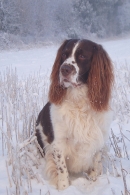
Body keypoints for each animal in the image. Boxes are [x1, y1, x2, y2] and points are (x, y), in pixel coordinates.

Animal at [35, 38, 114, 190]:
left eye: (82, 56)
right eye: (64, 55)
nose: (64, 69)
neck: (78, 101)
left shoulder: (98, 138)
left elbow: (96, 162)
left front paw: (93, 180)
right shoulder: (59, 142)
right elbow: (62, 169)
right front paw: (64, 188)